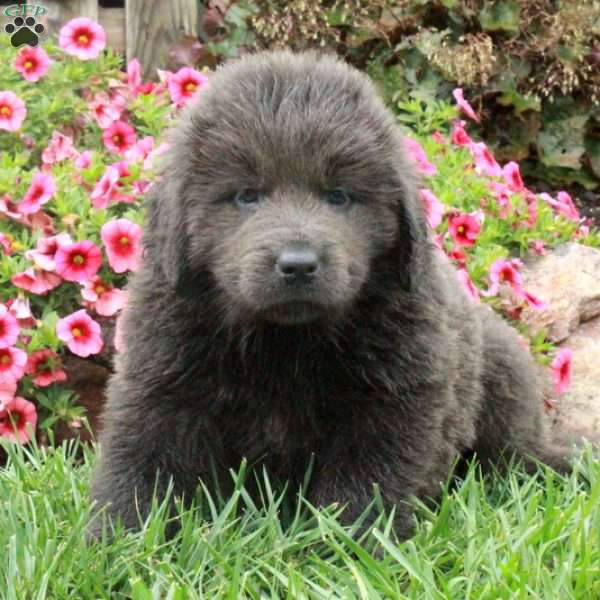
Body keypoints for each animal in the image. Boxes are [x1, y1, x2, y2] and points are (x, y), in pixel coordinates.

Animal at [90, 50, 580, 540]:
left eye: (339, 196)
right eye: (247, 195)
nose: (298, 264)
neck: (283, 342)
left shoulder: (395, 399)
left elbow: (368, 483)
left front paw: (350, 544)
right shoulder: (161, 379)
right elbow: (143, 461)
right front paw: (119, 536)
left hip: (503, 371)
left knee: (516, 456)